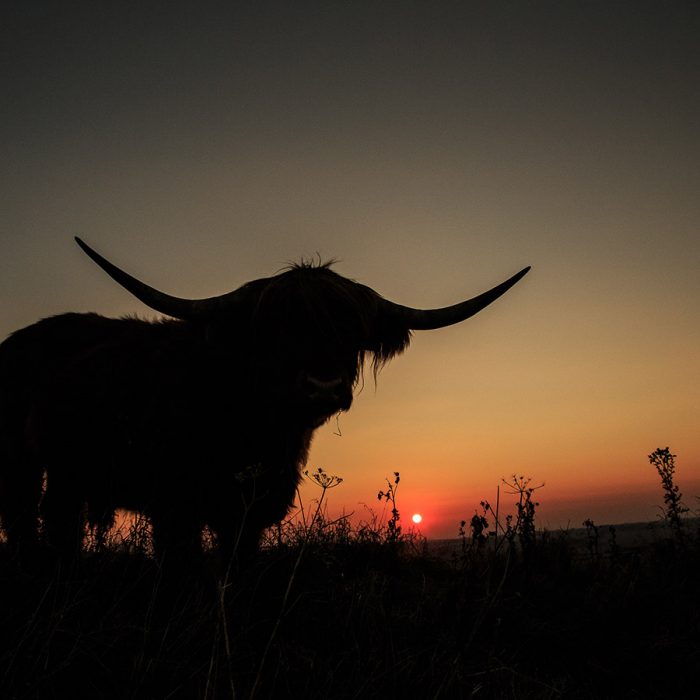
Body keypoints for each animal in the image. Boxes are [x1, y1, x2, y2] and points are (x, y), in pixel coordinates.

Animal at [0, 238, 528, 568]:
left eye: (351, 333)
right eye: (277, 333)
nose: (322, 386)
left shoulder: (250, 515)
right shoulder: (175, 508)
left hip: (67, 472)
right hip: (23, 465)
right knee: (29, 519)